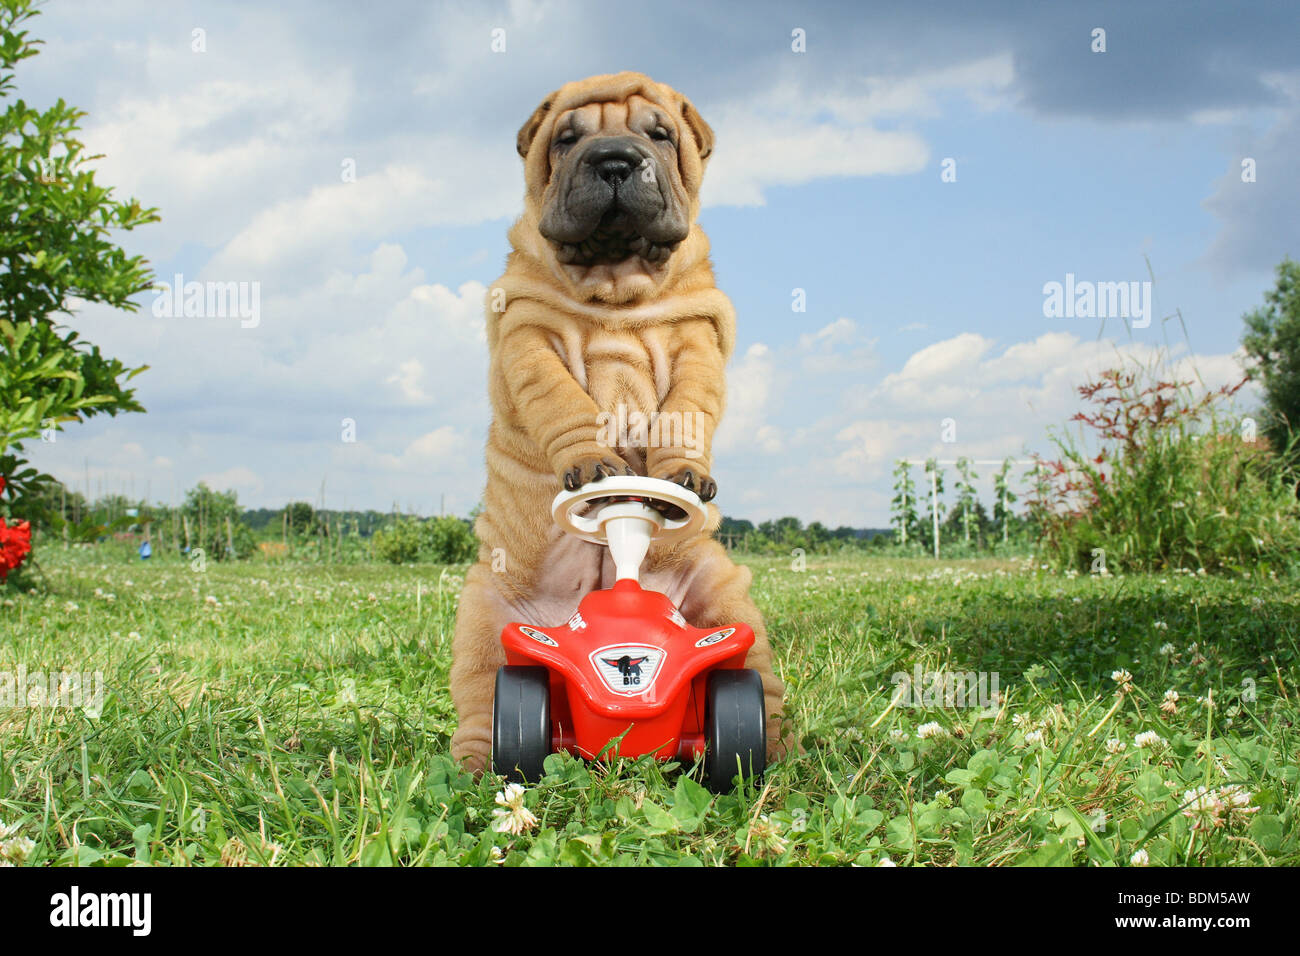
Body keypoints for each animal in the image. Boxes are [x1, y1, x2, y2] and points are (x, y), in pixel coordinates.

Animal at [447, 70, 790, 775]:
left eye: (659, 134)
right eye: (565, 139)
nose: (612, 159)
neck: (615, 288)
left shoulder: (696, 336)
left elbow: (688, 410)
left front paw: (682, 473)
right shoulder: (528, 332)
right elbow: (560, 401)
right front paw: (591, 462)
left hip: (724, 594)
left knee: (757, 678)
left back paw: (773, 750)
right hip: (484, 612)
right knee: (481, 689)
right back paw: (475, 768)